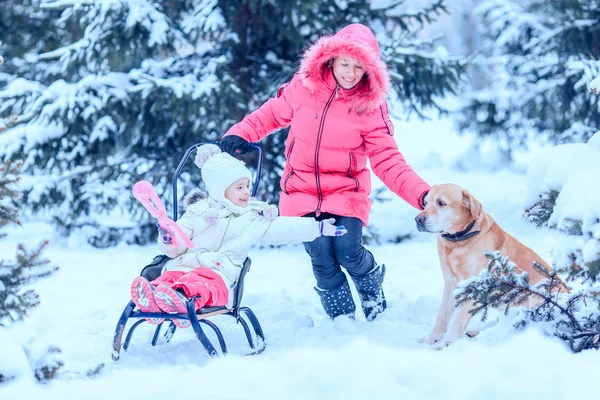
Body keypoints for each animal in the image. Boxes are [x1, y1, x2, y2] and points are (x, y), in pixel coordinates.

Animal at [414, 184, 564, 346]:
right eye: (425, 203)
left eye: (441, 203)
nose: (418, 219)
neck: (459, 241)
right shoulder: (451, 284)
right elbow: (442, 317)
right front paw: (431, 339)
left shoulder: (475, 286)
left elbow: (458, 321)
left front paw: (446, 343)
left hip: (539, 293)